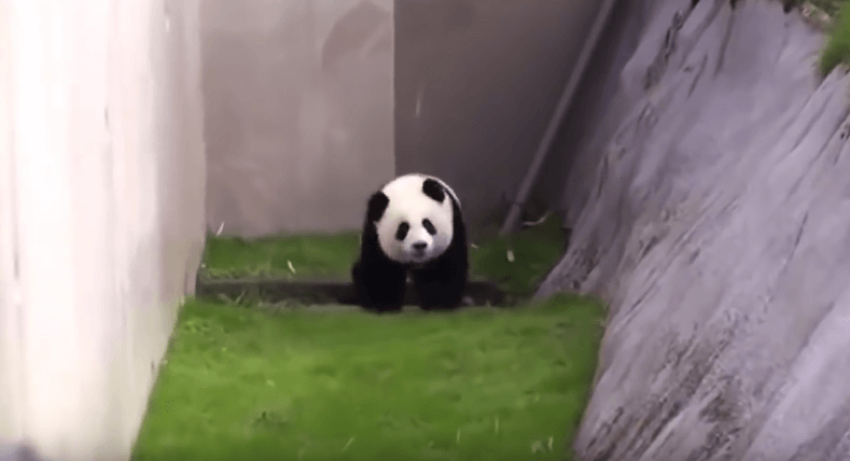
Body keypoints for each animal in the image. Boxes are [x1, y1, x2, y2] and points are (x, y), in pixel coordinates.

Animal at [351, 173, 468, 313]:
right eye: (403, 228)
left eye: (427, 224)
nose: (419, 245)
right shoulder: (374, 234)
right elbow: (381, 270)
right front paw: (383, 305)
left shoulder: (454, 226)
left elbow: (442, 269)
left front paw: (439, 304)